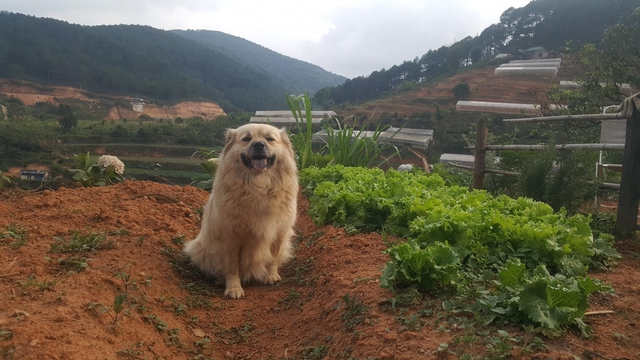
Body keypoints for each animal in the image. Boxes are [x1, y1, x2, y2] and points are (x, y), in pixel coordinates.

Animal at [182, 124, 298, 298]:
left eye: (270, 139)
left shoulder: (279, 232)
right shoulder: (230, 237)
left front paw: (272, 276)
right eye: (247, 139)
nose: (259, 144)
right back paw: (220, 280)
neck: (258, 188)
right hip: (200, 248)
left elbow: (273, 258)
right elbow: (232, 267)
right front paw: (234, 288)